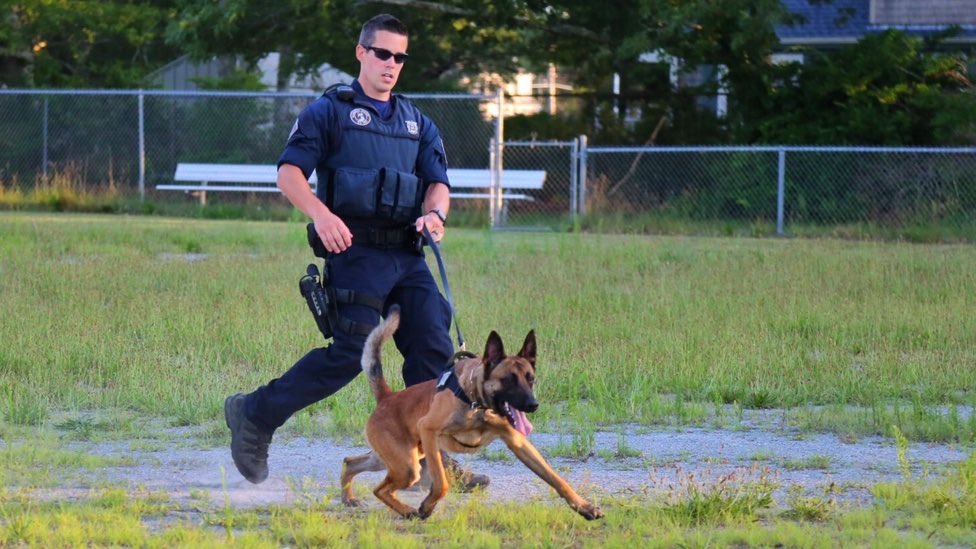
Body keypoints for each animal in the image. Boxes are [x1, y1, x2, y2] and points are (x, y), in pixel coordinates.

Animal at [342, 306, 604, 520]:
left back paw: (349, 498)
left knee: (351, 462)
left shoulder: (518, 442)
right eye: (509, 380)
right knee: (379, 488)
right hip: (407, 466)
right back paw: (407, 511)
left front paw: (584, 506)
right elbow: (441, 483)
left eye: (530, 379)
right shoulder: (428, 429)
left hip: (399, 458)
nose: (533, 405)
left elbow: (556, 479)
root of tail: (388, 397)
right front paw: (427, 506)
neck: (477, 404)